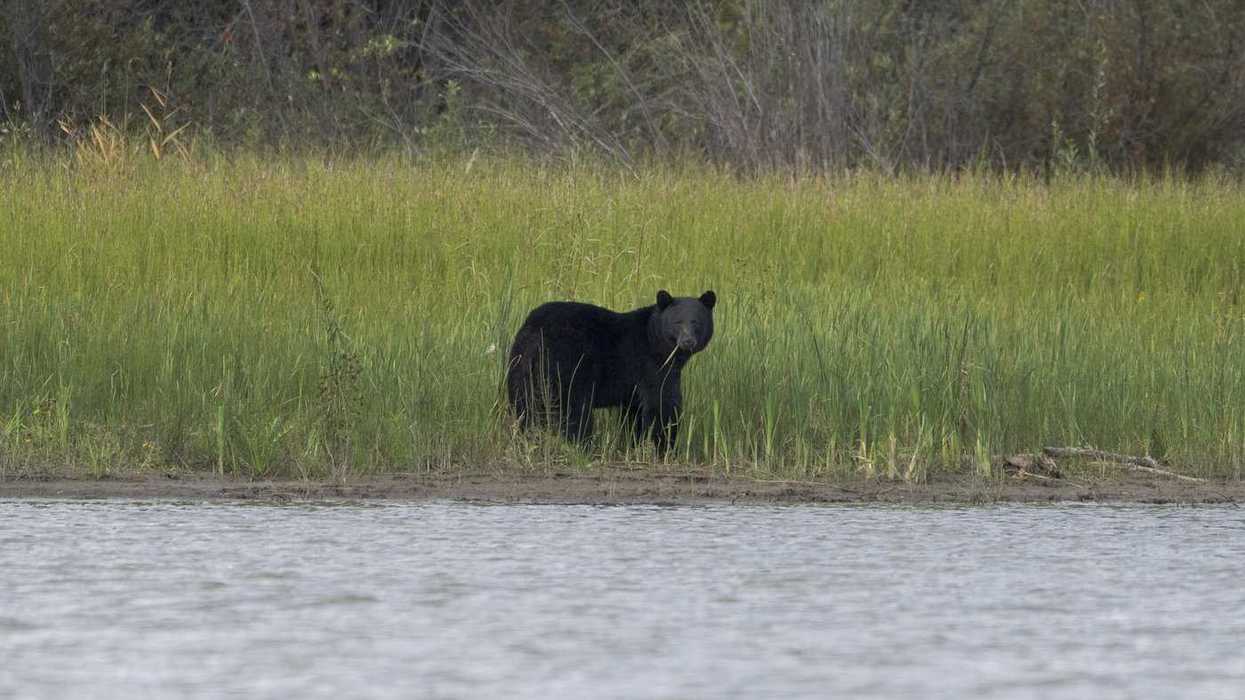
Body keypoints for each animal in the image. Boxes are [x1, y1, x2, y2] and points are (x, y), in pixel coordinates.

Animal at [506, 290, 716, 454]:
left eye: (696, 322)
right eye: (678, 322)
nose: (688, 341)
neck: (655, 340)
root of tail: (535, 328)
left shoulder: (633, 387)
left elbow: (635, 414)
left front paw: (635, 446)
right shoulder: (651, 364)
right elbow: (662, 404)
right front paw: (666, 449)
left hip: (520, 365)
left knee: (524, 406)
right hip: (566, 366)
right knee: (572, 411)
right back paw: (582, 447)